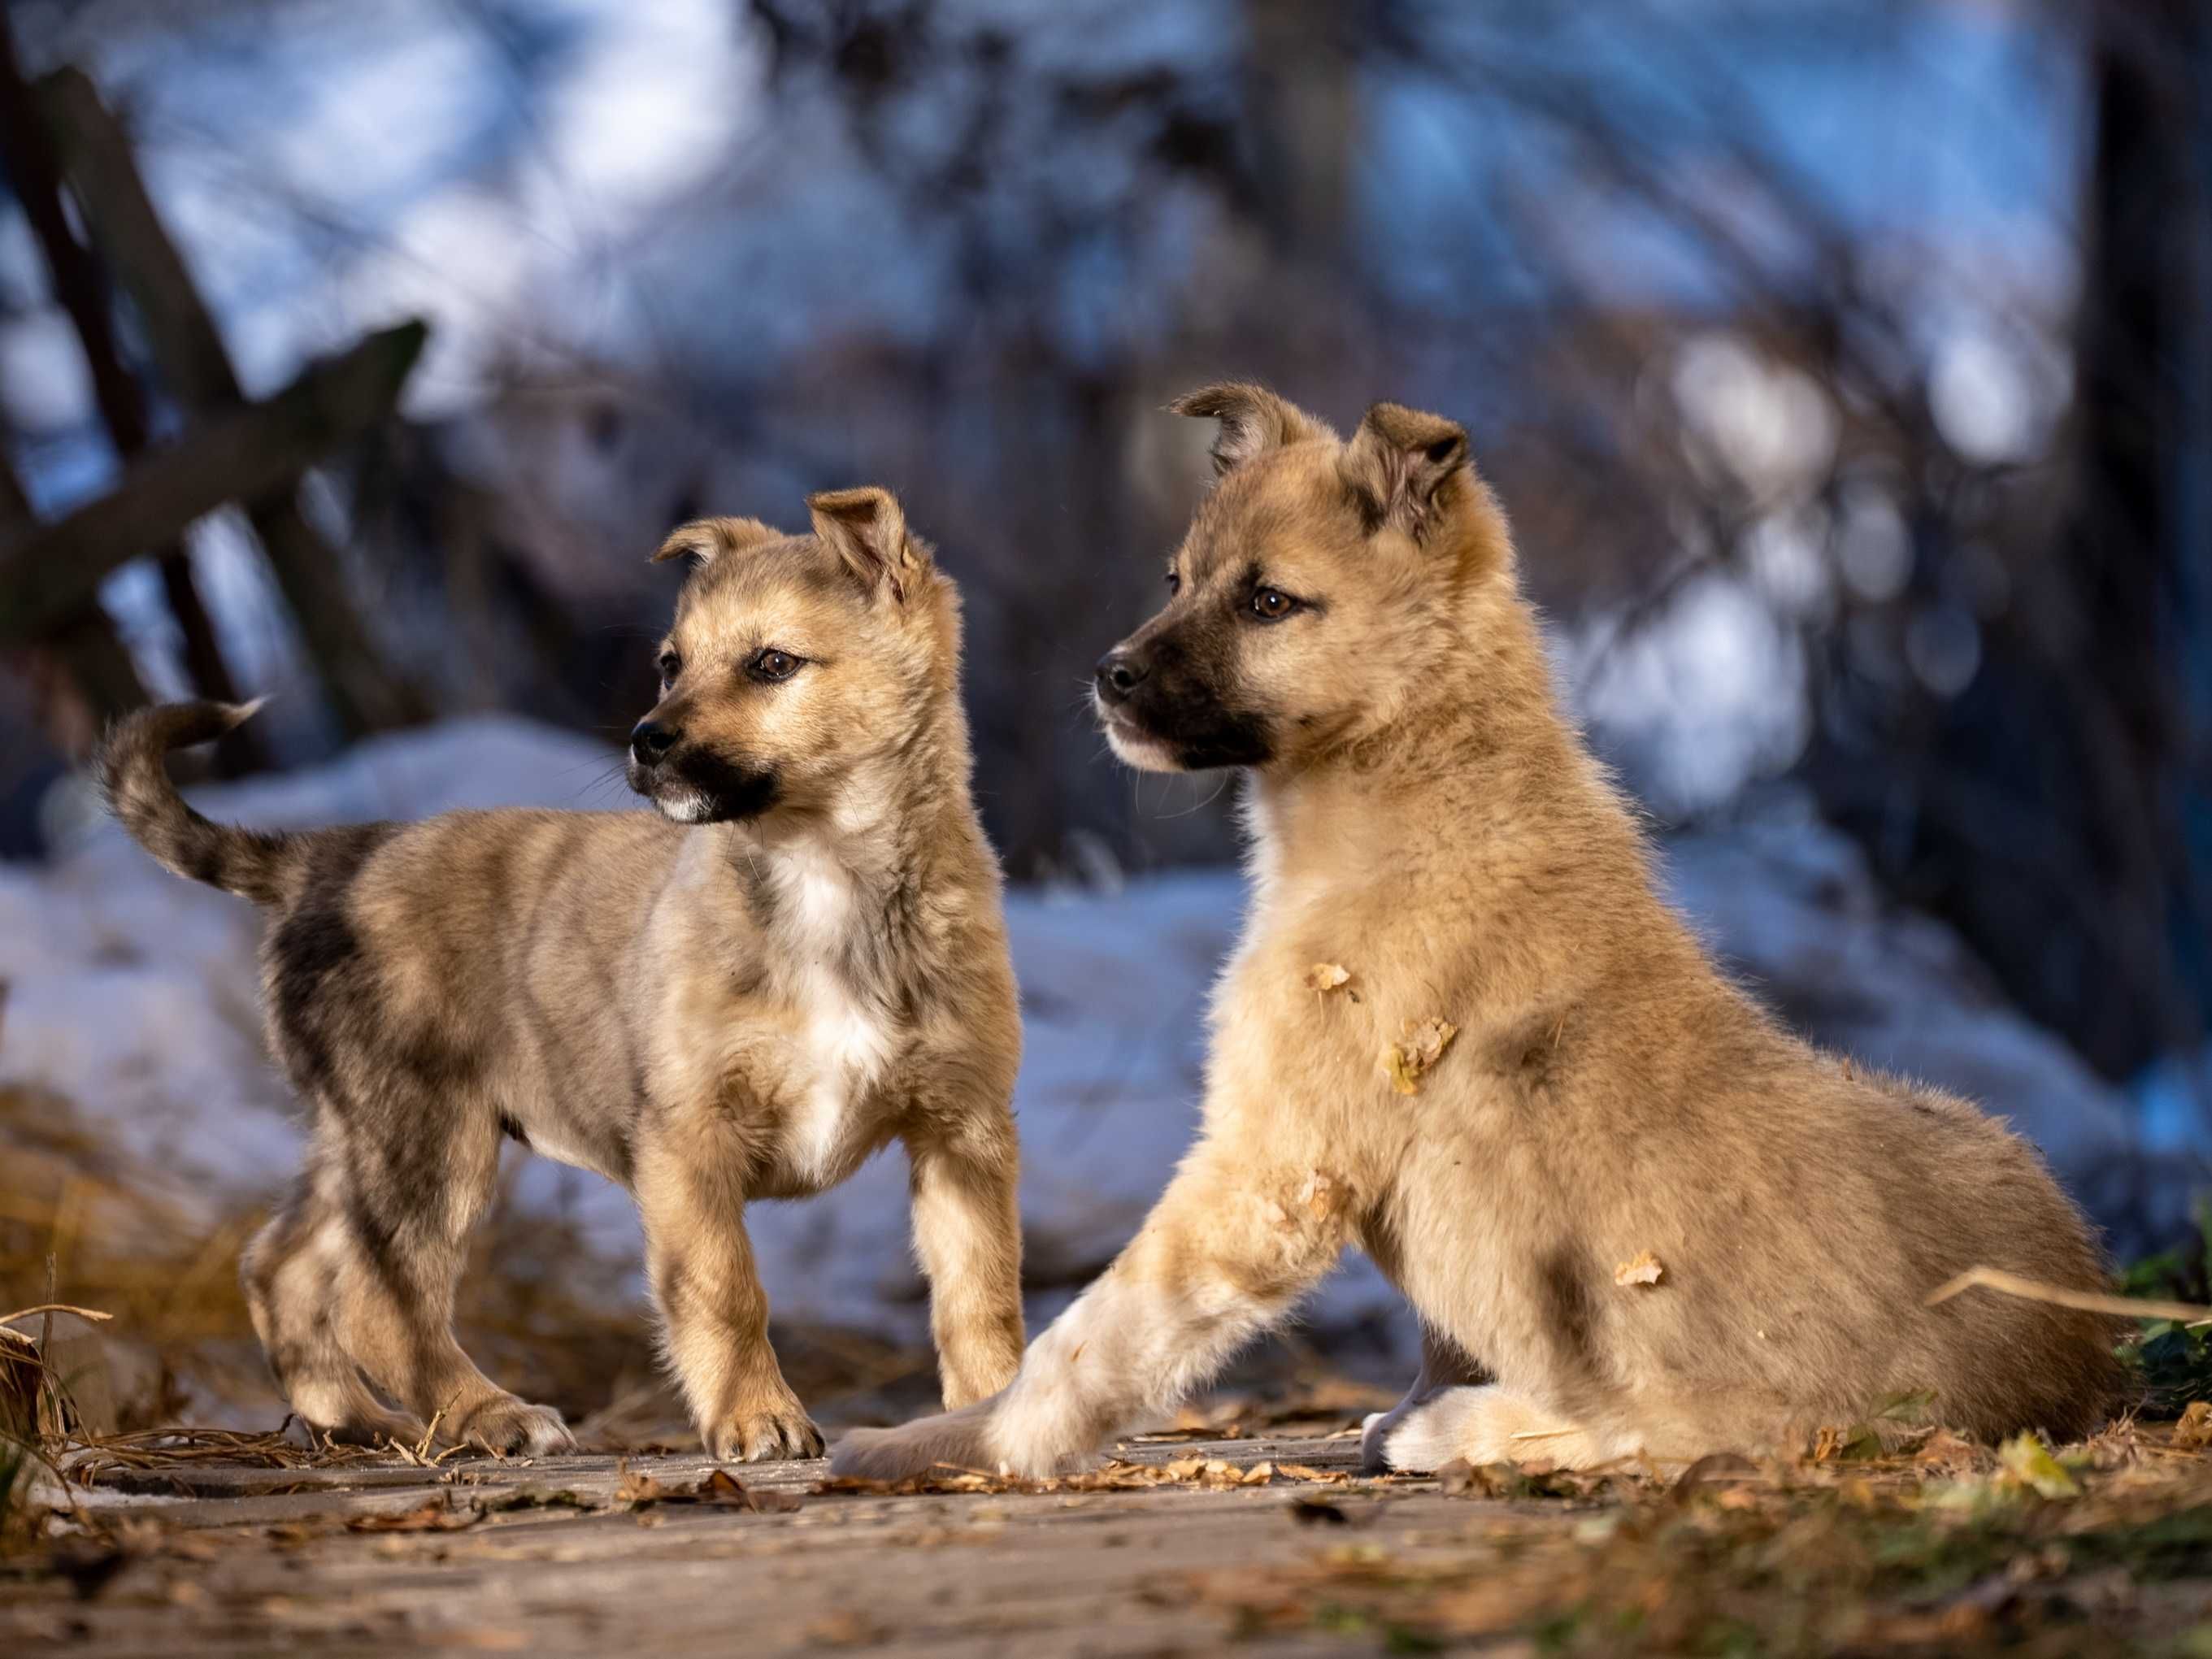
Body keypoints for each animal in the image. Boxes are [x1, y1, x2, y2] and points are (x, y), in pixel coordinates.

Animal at [103, 486, 1026, 1460]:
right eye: (670, 664)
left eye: (773, 663)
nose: (645, 740)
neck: (820, 874)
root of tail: (329, 856)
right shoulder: (687, 1136)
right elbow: (726, 1290)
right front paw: (758, 1415)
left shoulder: (961, 1130)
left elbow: (979, 1297)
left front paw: (996, 1410)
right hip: (426, 1132)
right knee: (378, 1301)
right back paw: (489, 1414)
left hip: (362, 1136)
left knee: (283, 1264)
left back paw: (356, 1421)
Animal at [832, 387, 2123, 1477]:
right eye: (1176, 578)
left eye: (1266, 602)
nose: (1106, 676)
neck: (1412, 780)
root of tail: (2070, 1370)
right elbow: (1428, 1332)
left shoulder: (1265, 1165)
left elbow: (1090, 1339)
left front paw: (950, 1443)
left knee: (1654, 1426)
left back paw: (1466, 1429)